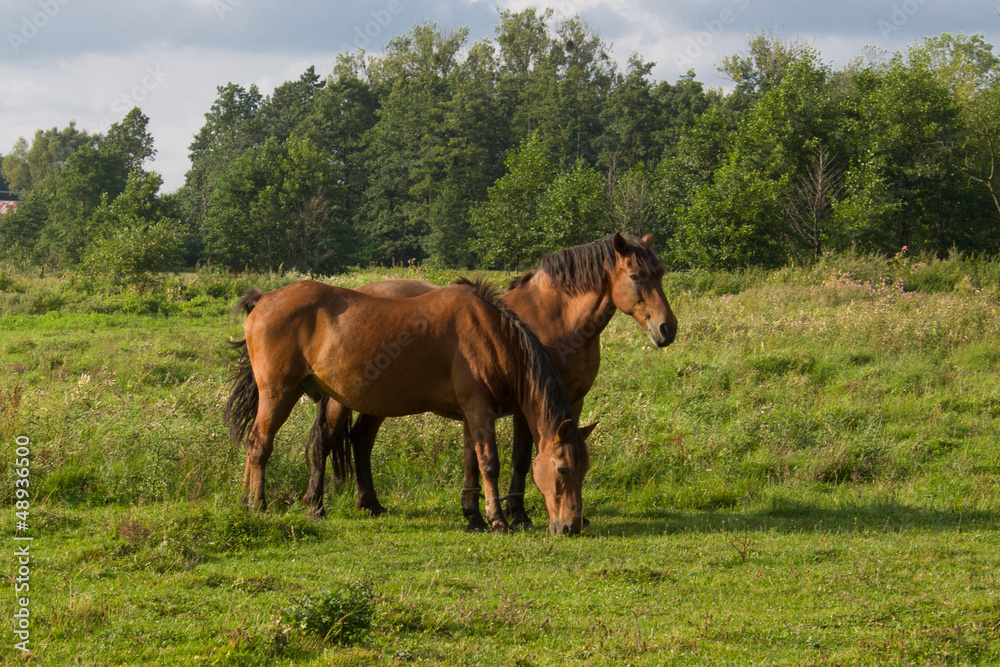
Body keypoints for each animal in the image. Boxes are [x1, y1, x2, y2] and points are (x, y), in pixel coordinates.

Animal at [225, 280, 592, 536]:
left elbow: (470, 463)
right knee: (259, 444)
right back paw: (258, 504)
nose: (571, 526)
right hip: (278, 394)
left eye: (584, 470)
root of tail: (264, 298)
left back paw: (313, 506)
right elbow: (489, 464)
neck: (491, 333)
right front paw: (498, 520)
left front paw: (473, 516)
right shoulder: (479, 408)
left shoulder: (470, 414)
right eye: (562, 469)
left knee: (318, 444)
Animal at [304, 235, 676, 528]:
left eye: (661, 274)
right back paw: (318, 504)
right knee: (326, 440)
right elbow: (520, 459)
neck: (553, 319)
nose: (667, 328)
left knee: (361, 440)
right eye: (637, 276)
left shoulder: (571, 401)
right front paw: (517, 514)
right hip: (343, 398)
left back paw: (370, 503)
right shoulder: (519, 409)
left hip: (378, 400)